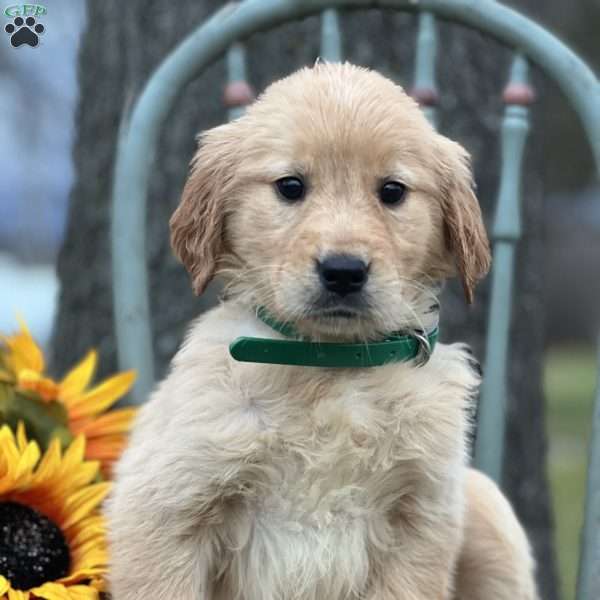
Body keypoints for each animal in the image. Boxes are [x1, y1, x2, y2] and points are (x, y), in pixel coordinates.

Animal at [105, 62, 536, 600]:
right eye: (290, 186)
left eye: (392, 191)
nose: (344, 272)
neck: (330, 364)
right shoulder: (167, 504)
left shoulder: (421, 517)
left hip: (486, 509)